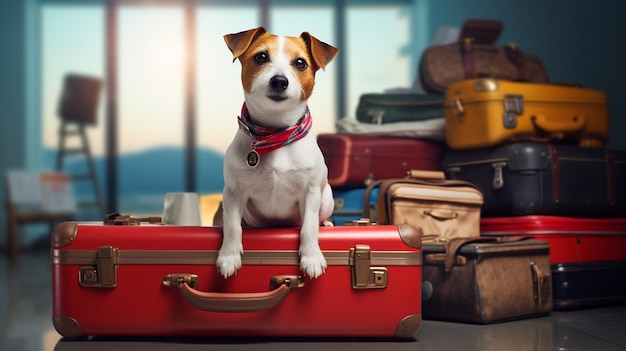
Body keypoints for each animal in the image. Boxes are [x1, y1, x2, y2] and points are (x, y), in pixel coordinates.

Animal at [217, 26, 338, 280]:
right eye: (261, 57)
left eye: (300, 63)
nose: (279, 81)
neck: (275, 134)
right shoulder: (233, 192)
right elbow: (232, 226)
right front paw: (229, 256)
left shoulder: (311, 193)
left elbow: (308, 227)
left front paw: (312, 258)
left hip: (327, 197)